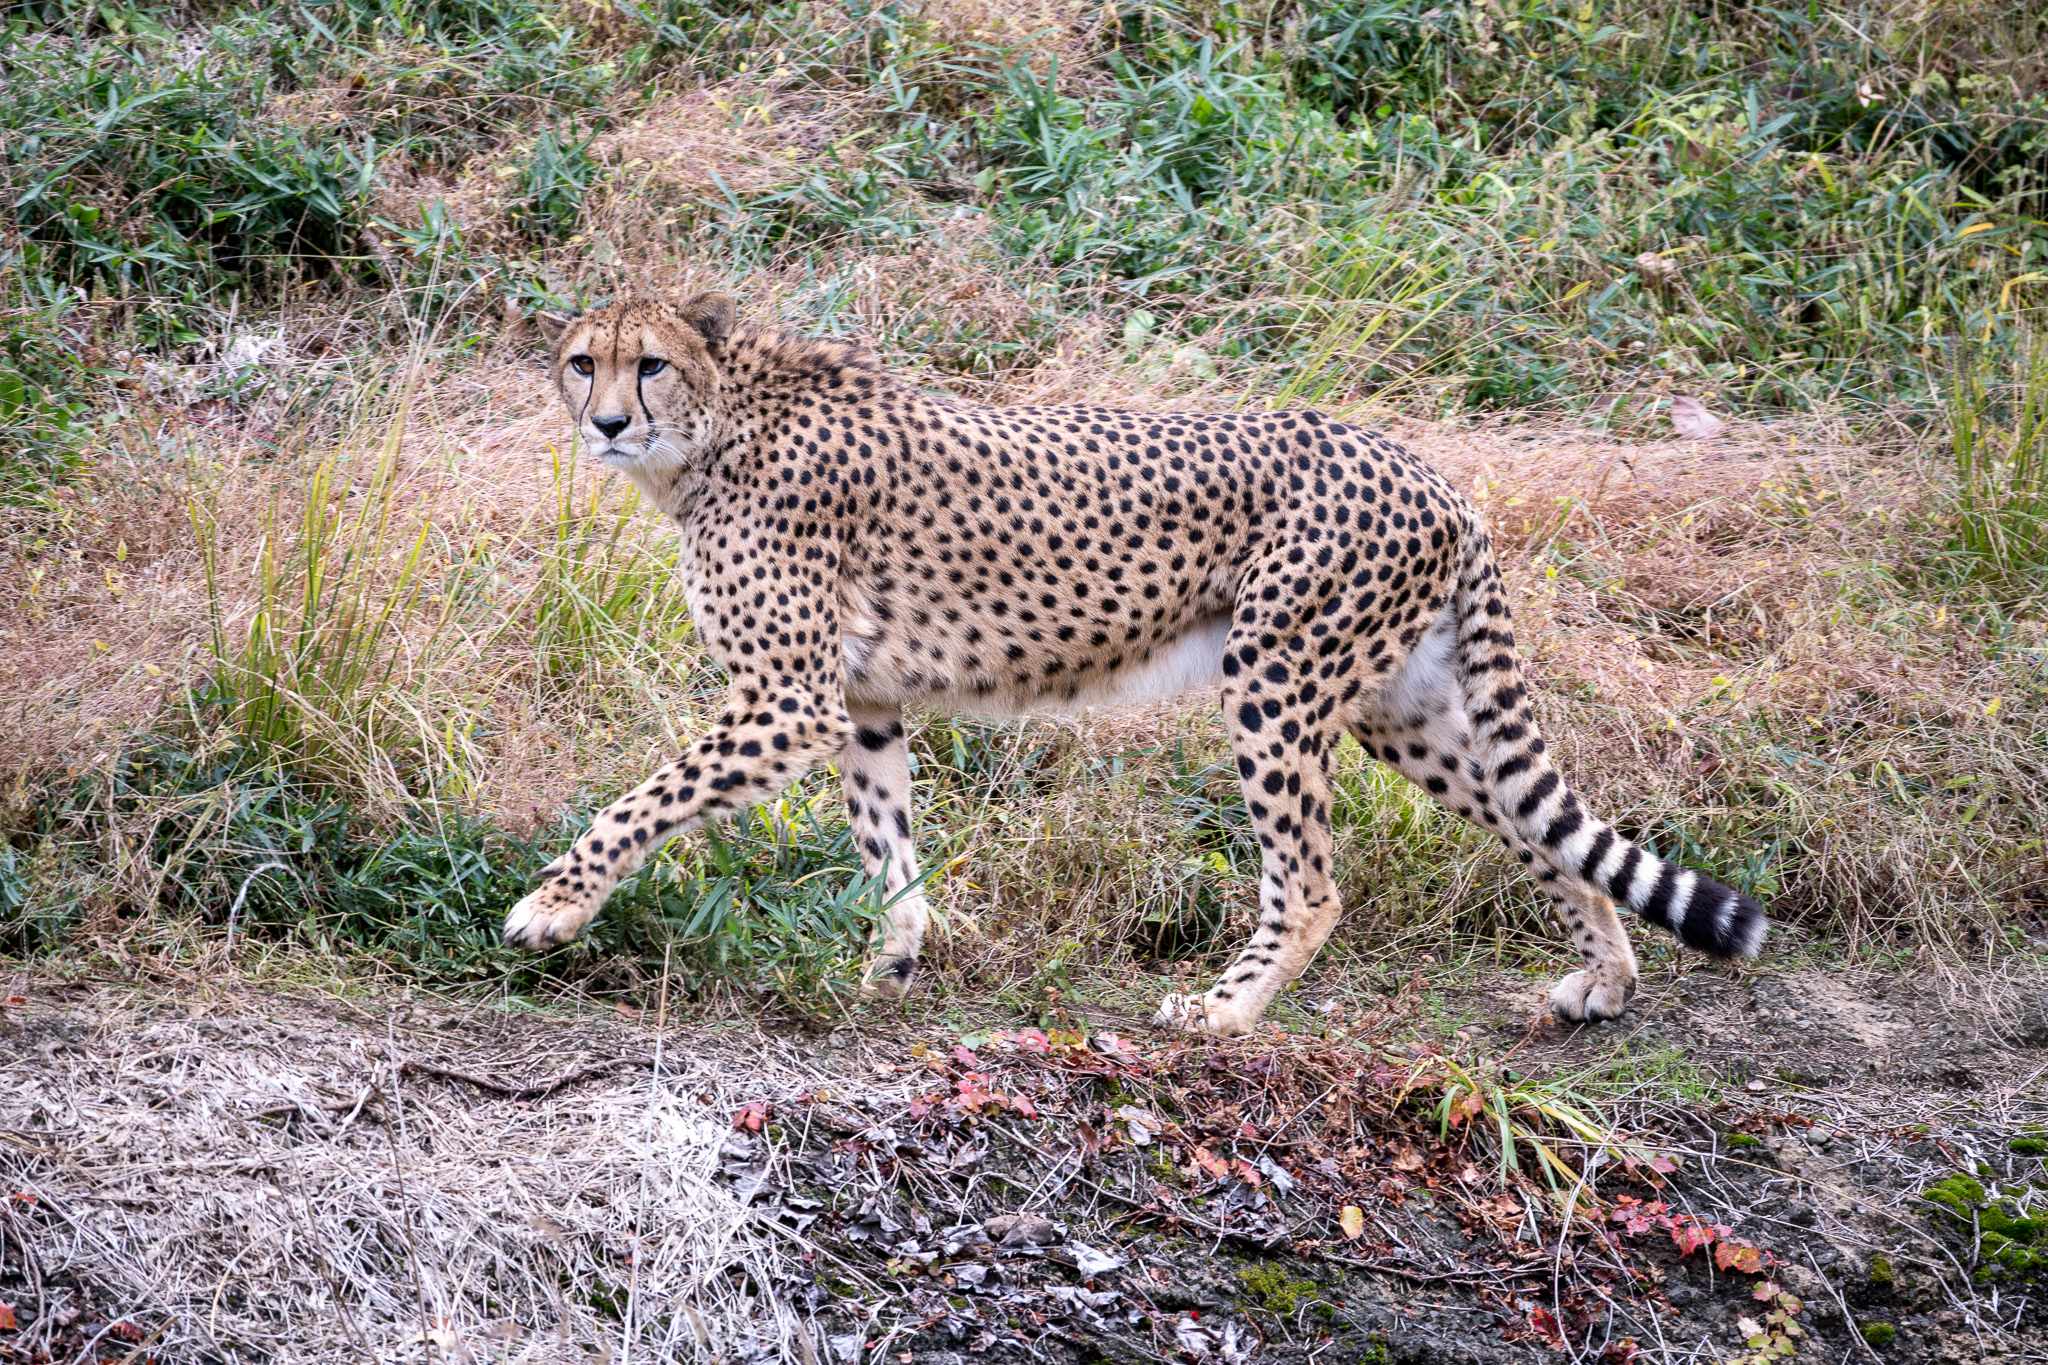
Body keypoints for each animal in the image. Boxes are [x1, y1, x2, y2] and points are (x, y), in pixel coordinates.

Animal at [501, 290, 1768, 1035]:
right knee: (1537, 825)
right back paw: (1604, 980)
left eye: (649, 366)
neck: (716, 430)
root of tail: (1431, 473)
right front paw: (889, 970)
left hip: (1274, 674)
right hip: (1398, 709)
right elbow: (887, 844)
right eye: (580, 362)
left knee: (1310, 882)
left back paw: (1221, 1010)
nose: (605, 423)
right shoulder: (860, 702)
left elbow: (639, 801)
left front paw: (549, 909)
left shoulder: (789, 700)